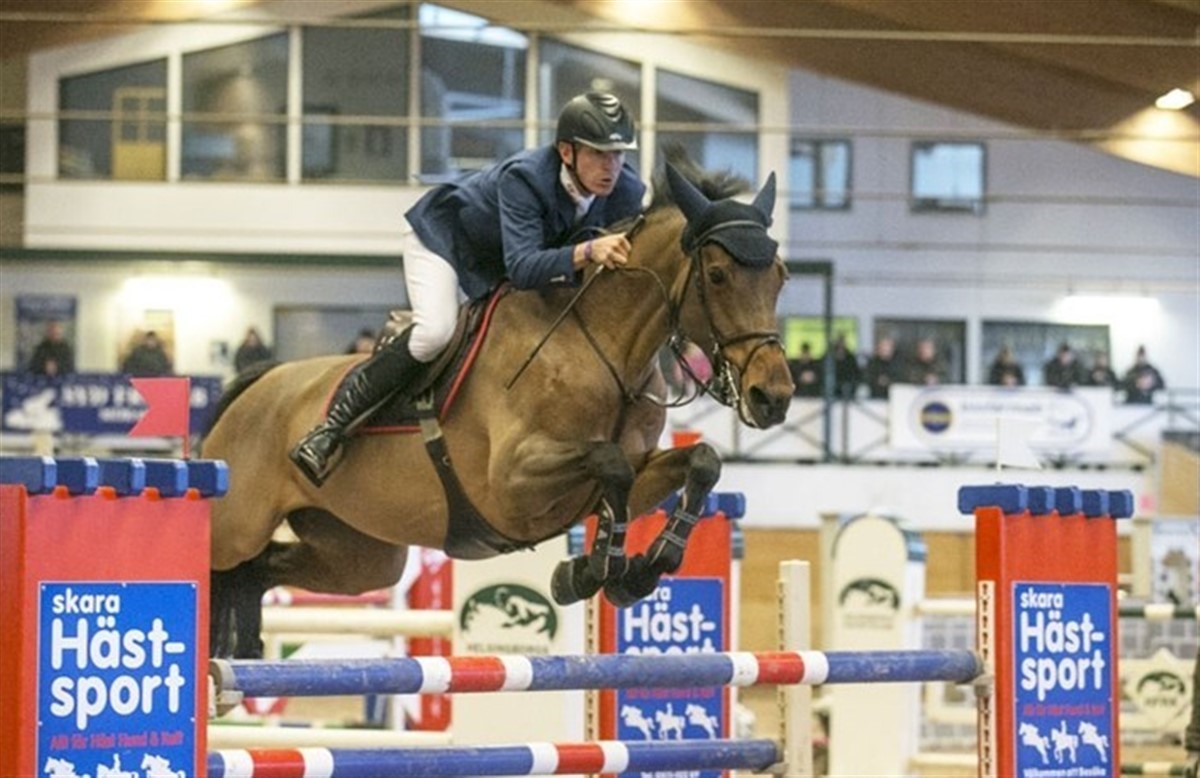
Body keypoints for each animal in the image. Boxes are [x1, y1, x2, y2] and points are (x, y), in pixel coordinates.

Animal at [203, 157, 794, 658]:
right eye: (716, 275)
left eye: (781, 277)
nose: (774, 397)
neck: (602, 347)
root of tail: (256, 387)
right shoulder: (511, 483)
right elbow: (610, 465)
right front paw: (593, 570)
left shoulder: (632, 469)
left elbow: (699, 463)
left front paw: (635, 571)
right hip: (236, 526)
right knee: (225, 564)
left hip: (359, 555)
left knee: (259, 570)